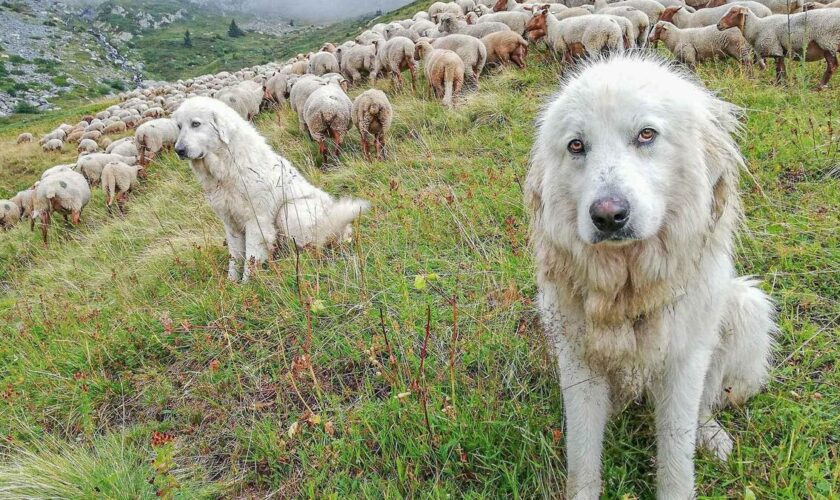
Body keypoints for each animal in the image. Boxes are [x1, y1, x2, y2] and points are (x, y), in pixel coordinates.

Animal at [173, 97, 368, 282]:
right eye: (179, 127)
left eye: (195, 124)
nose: (178, 150)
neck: (226, 164)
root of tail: (341, 229)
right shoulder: (231, 224)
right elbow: (235, 258)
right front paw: (231, 283)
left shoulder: (256, 221)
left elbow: (251, 259)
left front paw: (247, 284)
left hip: (289, 211)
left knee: (313, 248)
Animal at [524, 52, 776, 498]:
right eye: (576, 145)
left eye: (646, 135)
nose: (608, 216)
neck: (628, 289)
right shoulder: (579, 363)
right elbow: (582, 456)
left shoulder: (683, 360)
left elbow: (676, 452)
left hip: (745, 308)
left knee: (705, 406)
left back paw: (712, 437)